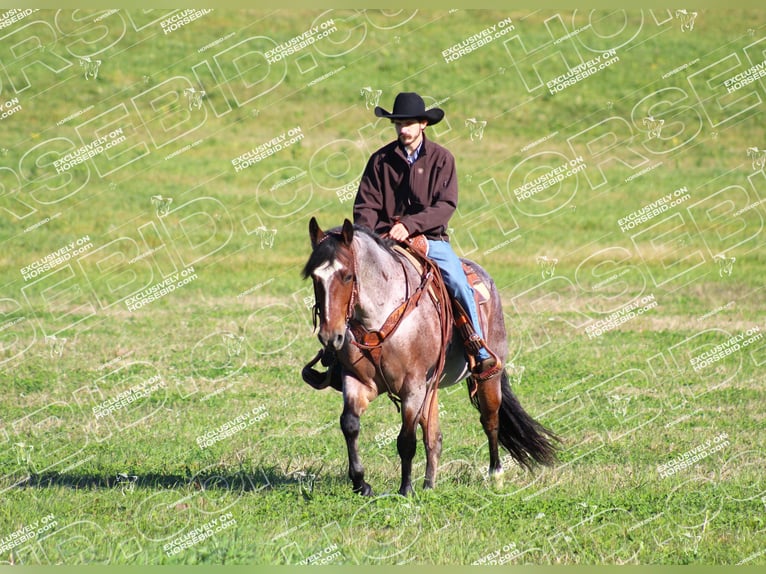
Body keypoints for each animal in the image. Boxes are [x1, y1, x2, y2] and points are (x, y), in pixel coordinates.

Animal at [304, 218, 560, 498]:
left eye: (348, 276)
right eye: (315, 277)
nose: (331, 337)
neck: (379, 318)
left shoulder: (413, 387)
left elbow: (406, 440)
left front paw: (405, 490)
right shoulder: (357, 381)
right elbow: (350, 424)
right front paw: (361, 483)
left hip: (487, 377)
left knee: (490, 421)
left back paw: (495, 476)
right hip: (431, 389)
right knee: (434, 437)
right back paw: (429, 484)